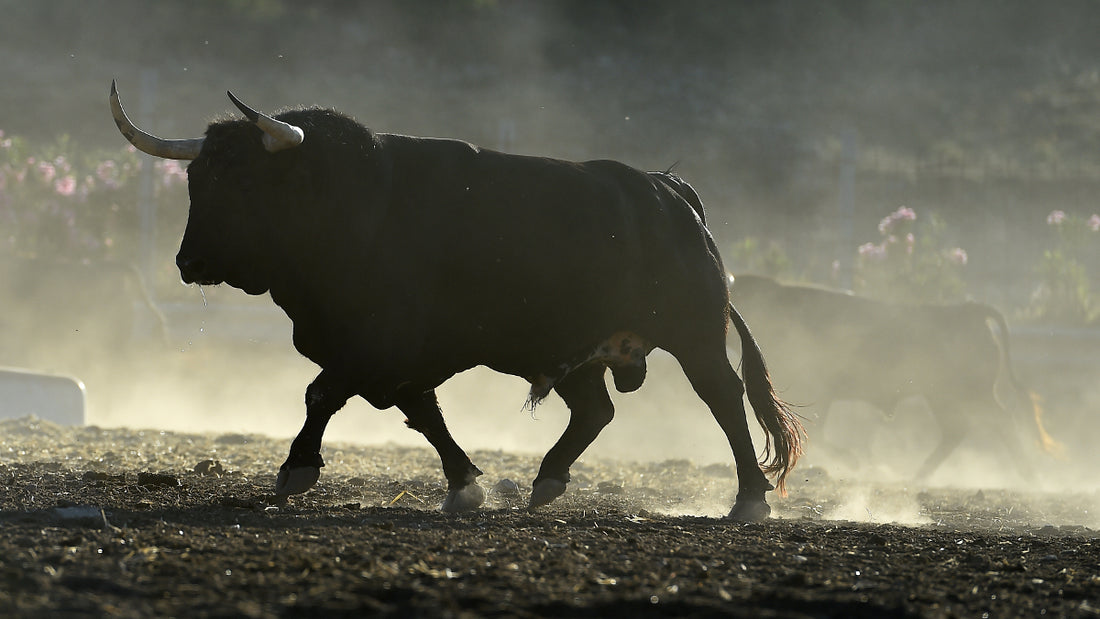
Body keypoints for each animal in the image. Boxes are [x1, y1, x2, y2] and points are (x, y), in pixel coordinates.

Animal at [107, 85, 805, 523]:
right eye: (197, 177)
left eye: (246, 180)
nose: (189, 264)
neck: (357, 205)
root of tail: (668, 191)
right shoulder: (399, 358)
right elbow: (423, 414)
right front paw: (465, 485)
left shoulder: (379, 342)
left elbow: (322, 393)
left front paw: (297, 468)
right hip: (578, 353)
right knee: (596, 410)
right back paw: (547, 480)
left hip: (695, 336)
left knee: (724, 399)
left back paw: (750, 498)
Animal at [730, 275, 1056, 483]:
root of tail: (969, 310)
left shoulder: (817, 390)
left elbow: (815, 431)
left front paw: (854, 461)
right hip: (944, 398)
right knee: (958, 430)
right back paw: (918, 475)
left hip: (970, 394)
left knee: (999, 421)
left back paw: (1030, 475)